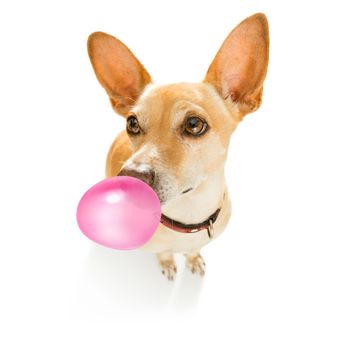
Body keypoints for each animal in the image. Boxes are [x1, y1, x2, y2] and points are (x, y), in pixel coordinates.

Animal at [87, 13, 268, 280]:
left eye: (194, 124)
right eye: (132, 123)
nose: (131, 176)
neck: (189, 216)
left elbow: (193, 251)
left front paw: (193, 259)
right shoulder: (157, 247)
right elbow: (163, 253)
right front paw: (168, 263)